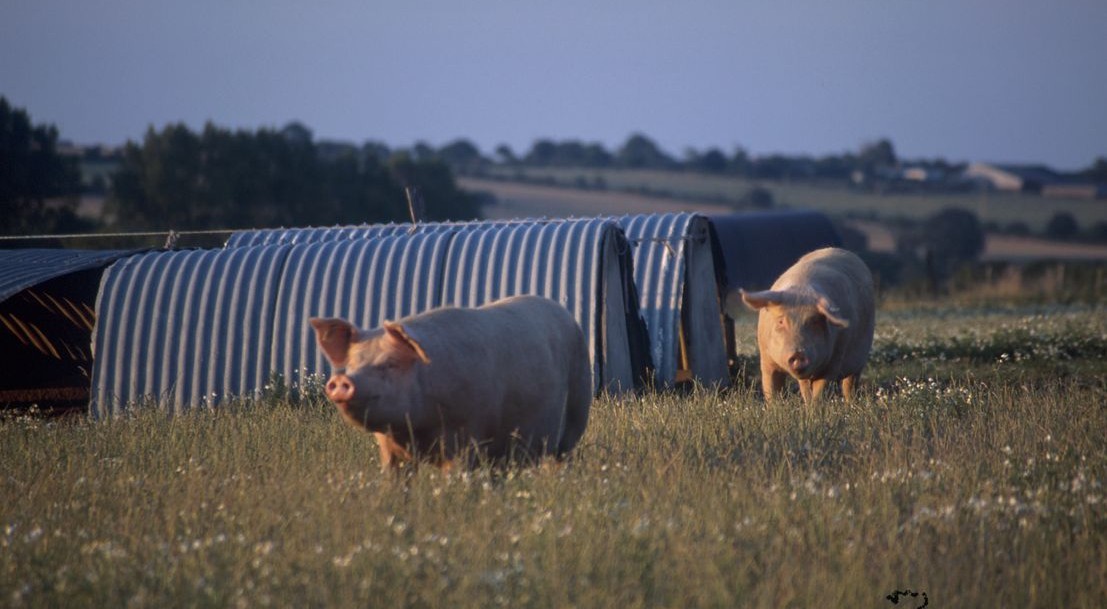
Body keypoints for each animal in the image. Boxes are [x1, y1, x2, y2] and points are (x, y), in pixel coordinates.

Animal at [307, 296, 593, 471]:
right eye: (352, 364)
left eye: (390, 364)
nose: (342, 381)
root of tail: (565, 312)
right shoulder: (388, 446)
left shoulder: (466, 437)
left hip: (576, 414)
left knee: (561, 456)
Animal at [730, 248, 876, 405]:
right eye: (781, 321)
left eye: (814, 322)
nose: (799, 354)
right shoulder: (766, 358)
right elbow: (771, 388)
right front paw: (774, 409)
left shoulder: (834, 360)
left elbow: (820, 392)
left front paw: (814, 410)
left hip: (859, 360)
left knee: (850, 384)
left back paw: (850, 405)